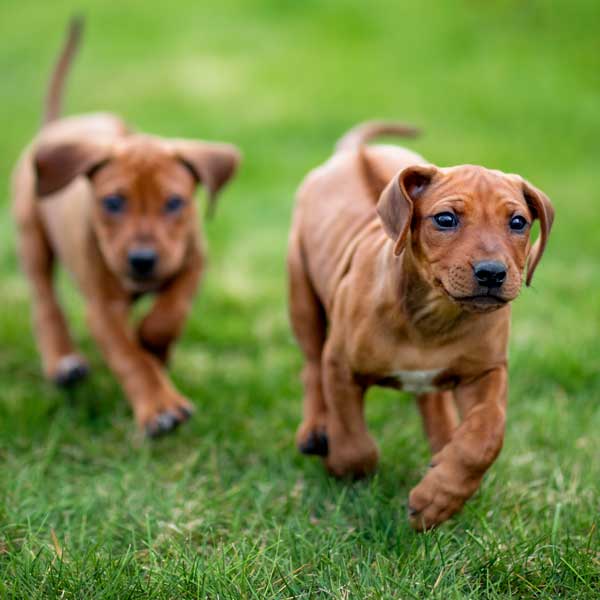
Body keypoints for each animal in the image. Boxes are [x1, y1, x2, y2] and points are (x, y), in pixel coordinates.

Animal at [12, 19, 240, 436]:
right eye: (113, 203)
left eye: (175, 202)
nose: (142, 260)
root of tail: (58, 126)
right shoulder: (102, 310)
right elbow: (129, 358)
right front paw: (159, 405)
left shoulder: (192, 261)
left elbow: (170, 313)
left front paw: (154, 344)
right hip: (31, 234)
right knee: (44, 300)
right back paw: (63, 360)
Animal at [288, 119, 556, 528]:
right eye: (445, 219)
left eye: (518, 222)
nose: (492, 273)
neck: (434, 318)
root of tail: (354, 153)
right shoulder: (342, 365)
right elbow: (354, 440)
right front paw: (343, 464)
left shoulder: (487, 371)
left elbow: (486, 437)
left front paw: (439, 497)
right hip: (301, 292)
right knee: (311, 365)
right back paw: (317, 427)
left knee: (434, 402)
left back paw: (442, 445)